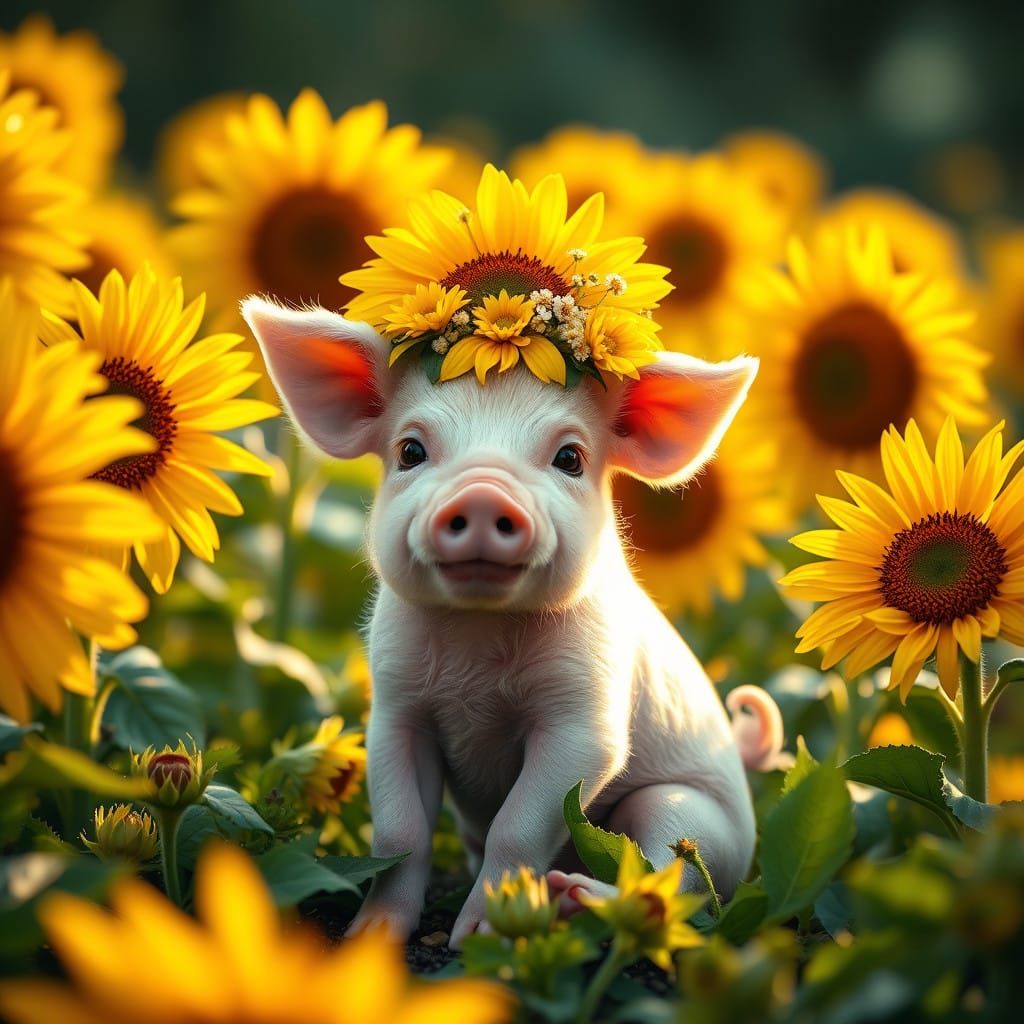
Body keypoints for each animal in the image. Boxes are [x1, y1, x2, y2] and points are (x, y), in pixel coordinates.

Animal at [242, 297, 783, 948]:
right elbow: (399, 833)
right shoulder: (395, 709)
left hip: (694, 813)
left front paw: (480, 940)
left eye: (570, 458)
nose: (482, 493)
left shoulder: (586, 723)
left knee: (667, 870)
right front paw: (370, 937)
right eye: (411, 451)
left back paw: (575, 899)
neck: (477, 640)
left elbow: (519, 824)